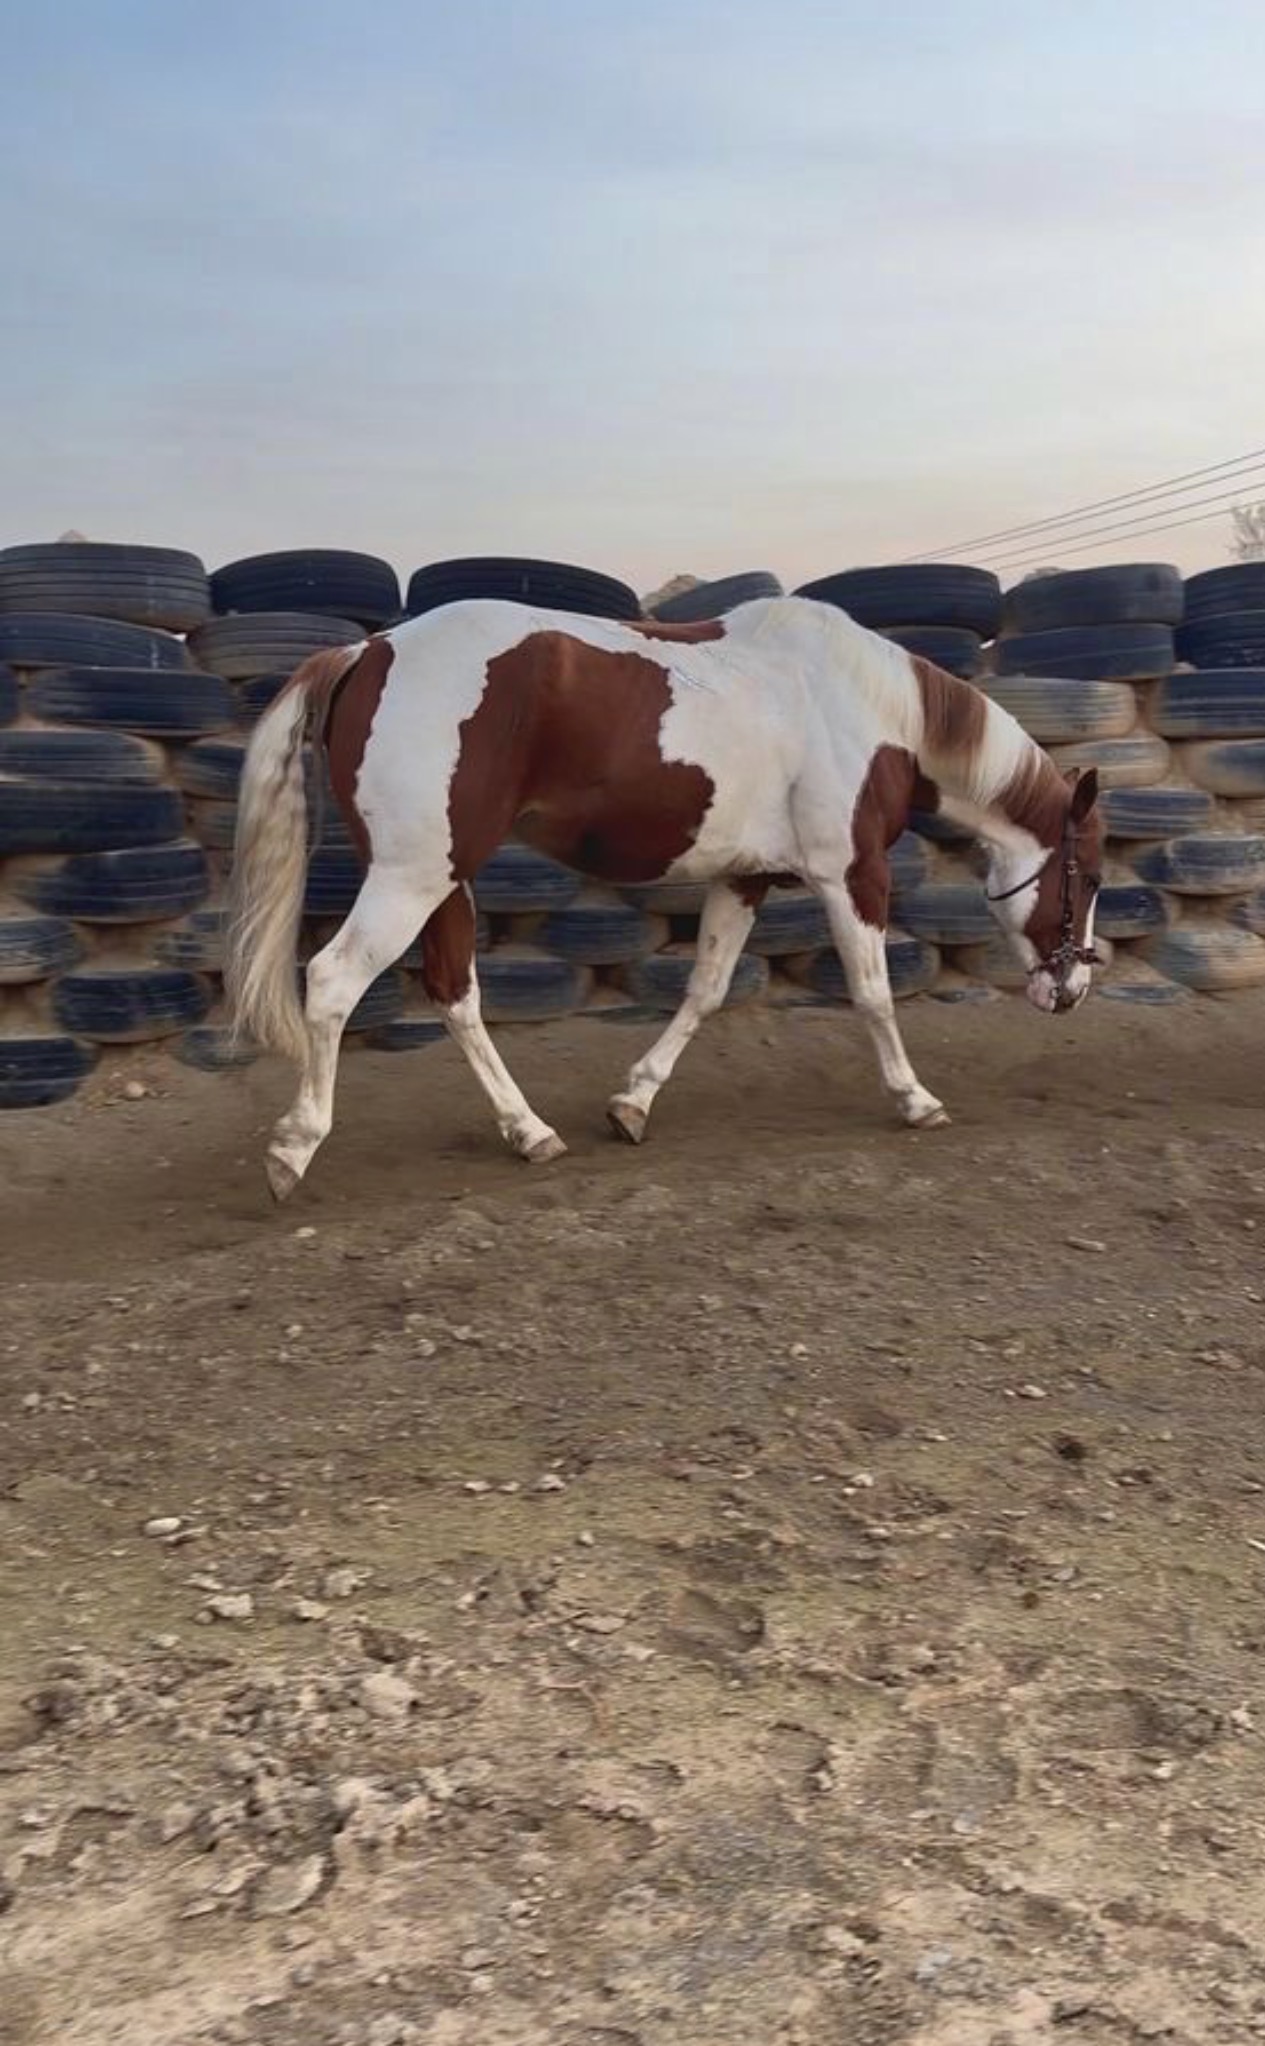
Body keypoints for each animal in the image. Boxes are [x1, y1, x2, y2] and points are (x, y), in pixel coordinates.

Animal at [225, 594, 1102, 1200]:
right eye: (1089, 876)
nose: (1069, 990)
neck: (872, 709)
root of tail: (368, 650)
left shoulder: (743, 877)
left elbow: (705, 991)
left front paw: (632, 1103)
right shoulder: (850, 874)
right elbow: (873, 995)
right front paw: (915, 1101)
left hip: (440, 878)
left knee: (455, 993)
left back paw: (530, 1132)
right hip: (412, 877)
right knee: (334, 980)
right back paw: (292, 1149)